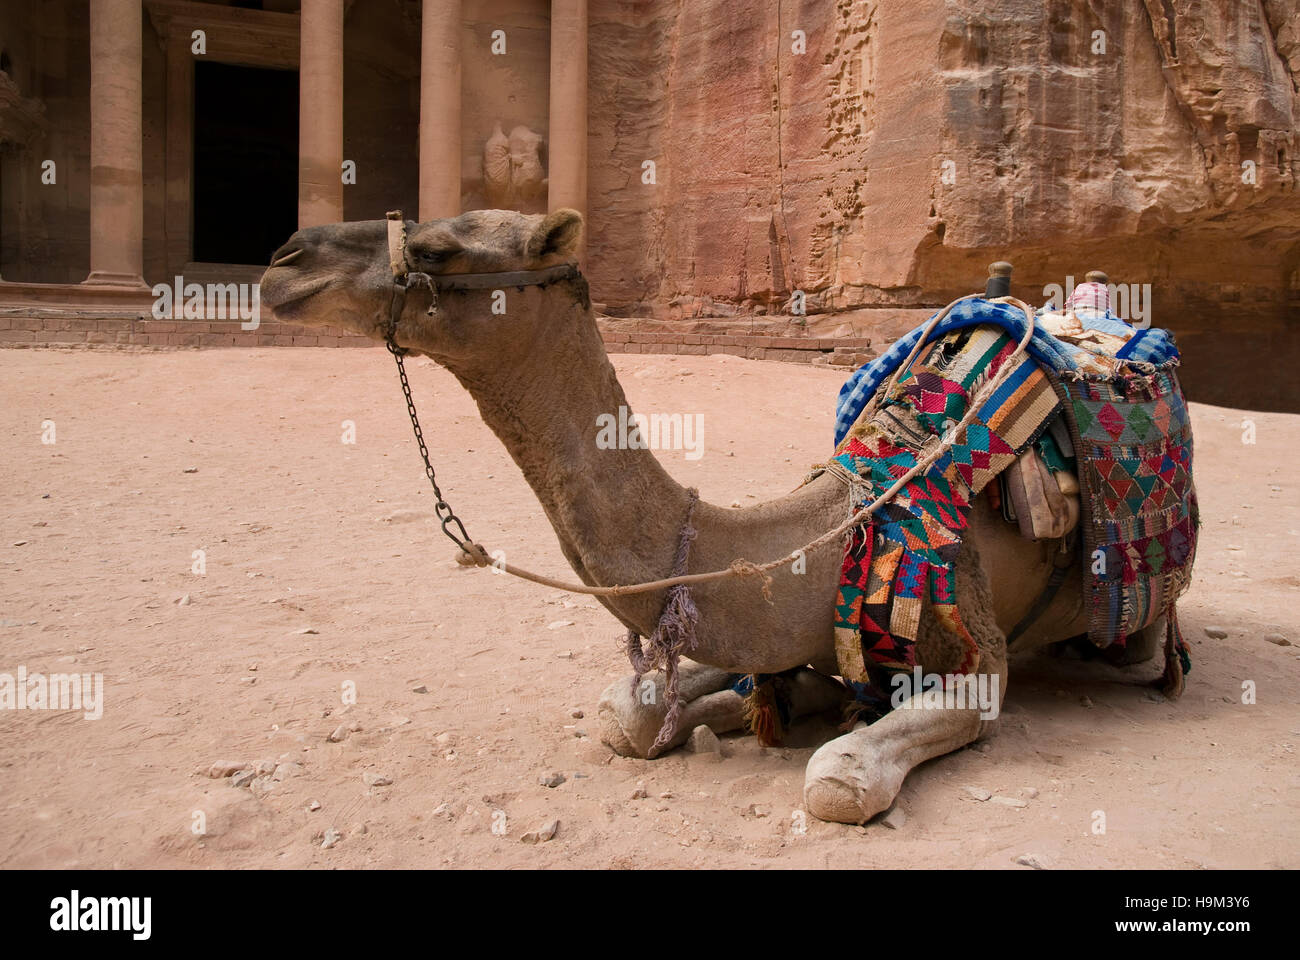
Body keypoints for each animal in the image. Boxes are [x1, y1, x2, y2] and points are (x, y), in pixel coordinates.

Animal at [261, 209, 1170, 822]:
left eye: (439, 248)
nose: (283, 259)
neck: (835, 530)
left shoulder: (975, 643)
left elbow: (838, 780)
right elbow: (628, 713)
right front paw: (727, 710)